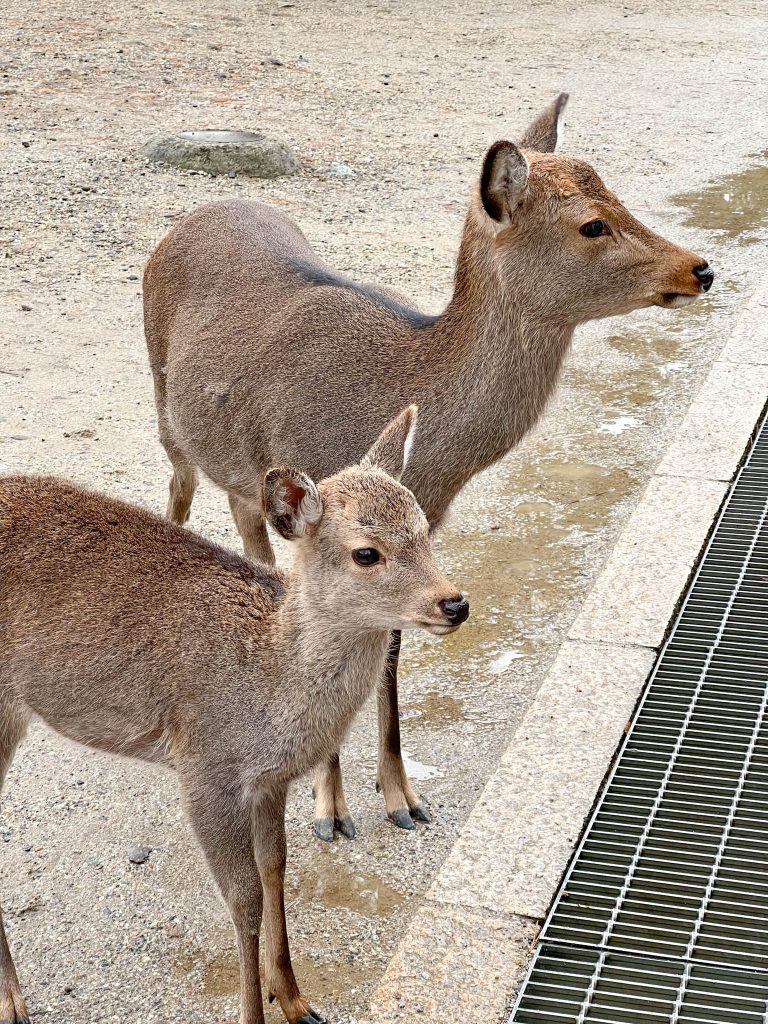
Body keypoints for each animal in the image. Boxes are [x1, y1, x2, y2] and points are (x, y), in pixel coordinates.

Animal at [0, 405, 468, 1024]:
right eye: (366, 552)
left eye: (422, 527)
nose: (455, 603)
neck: (269, 689)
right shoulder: (205, 768)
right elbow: (242, 899)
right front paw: (256, 1008)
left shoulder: (269, 782)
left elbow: (275, 871)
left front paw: (294, 997)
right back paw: (12, 1001)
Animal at [143, 90, 716, 839]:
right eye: (593, 224)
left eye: (616, 194)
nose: (700, 267)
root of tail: (197, 212)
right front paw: (331, 813)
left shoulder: (419, 536)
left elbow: (388, 651)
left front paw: (402, 798)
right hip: (163, 406)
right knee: (178, 490)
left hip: (241, 467)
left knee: (244, 519)